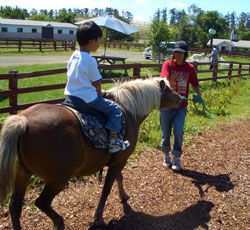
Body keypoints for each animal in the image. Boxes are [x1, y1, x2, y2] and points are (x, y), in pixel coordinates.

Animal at [0, 77, 180, 228]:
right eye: (169, 90)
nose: (181, 98)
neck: (128, 110)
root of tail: (23, 121)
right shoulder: (119, 161)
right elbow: (107, 188)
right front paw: (98, 218)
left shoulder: (117, 161)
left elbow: (119, 178)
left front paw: (123, 197)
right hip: (57, 179)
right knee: (41, 203)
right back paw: (59, 221)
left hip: (22, 174)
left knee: (15, 207)